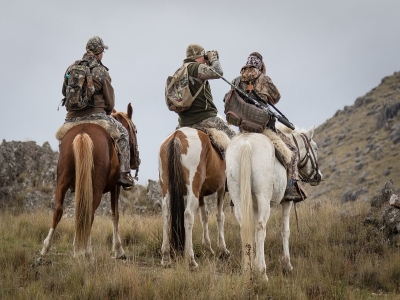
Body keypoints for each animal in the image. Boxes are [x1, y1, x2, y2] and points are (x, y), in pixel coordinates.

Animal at [40, 103, 138, 258]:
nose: (136, 161)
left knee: (59, 210)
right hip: (95, 186)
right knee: (89, 213)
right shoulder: (115, 187)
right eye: (135, 130)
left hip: (62, 181)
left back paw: (46, 249)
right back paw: (84, 252)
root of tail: (82, 133)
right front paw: (118, 250)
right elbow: (115, 215)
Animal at [158, 126, 230, 268]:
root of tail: (177, 136)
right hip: (193, 189)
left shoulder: (201, 194)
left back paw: (166, 258)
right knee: (188, 215)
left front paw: (208, 248)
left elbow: (204, 216)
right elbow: (220, 216)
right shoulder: (221, 188)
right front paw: (223, 249)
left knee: (166, 215)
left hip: (167, 187)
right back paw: (191, 259)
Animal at [227, 124, 324, 282]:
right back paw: (263, 273)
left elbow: (253, 231)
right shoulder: (286, 202)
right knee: (261, 228)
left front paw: (254, 262)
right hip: (264, 199)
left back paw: (247, 269)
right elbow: (285, 231)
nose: (318, 176)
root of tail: (246, 144)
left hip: (238, 198)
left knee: (245, 227)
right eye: (315, 148)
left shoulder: (254, 206)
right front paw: (287, 264)